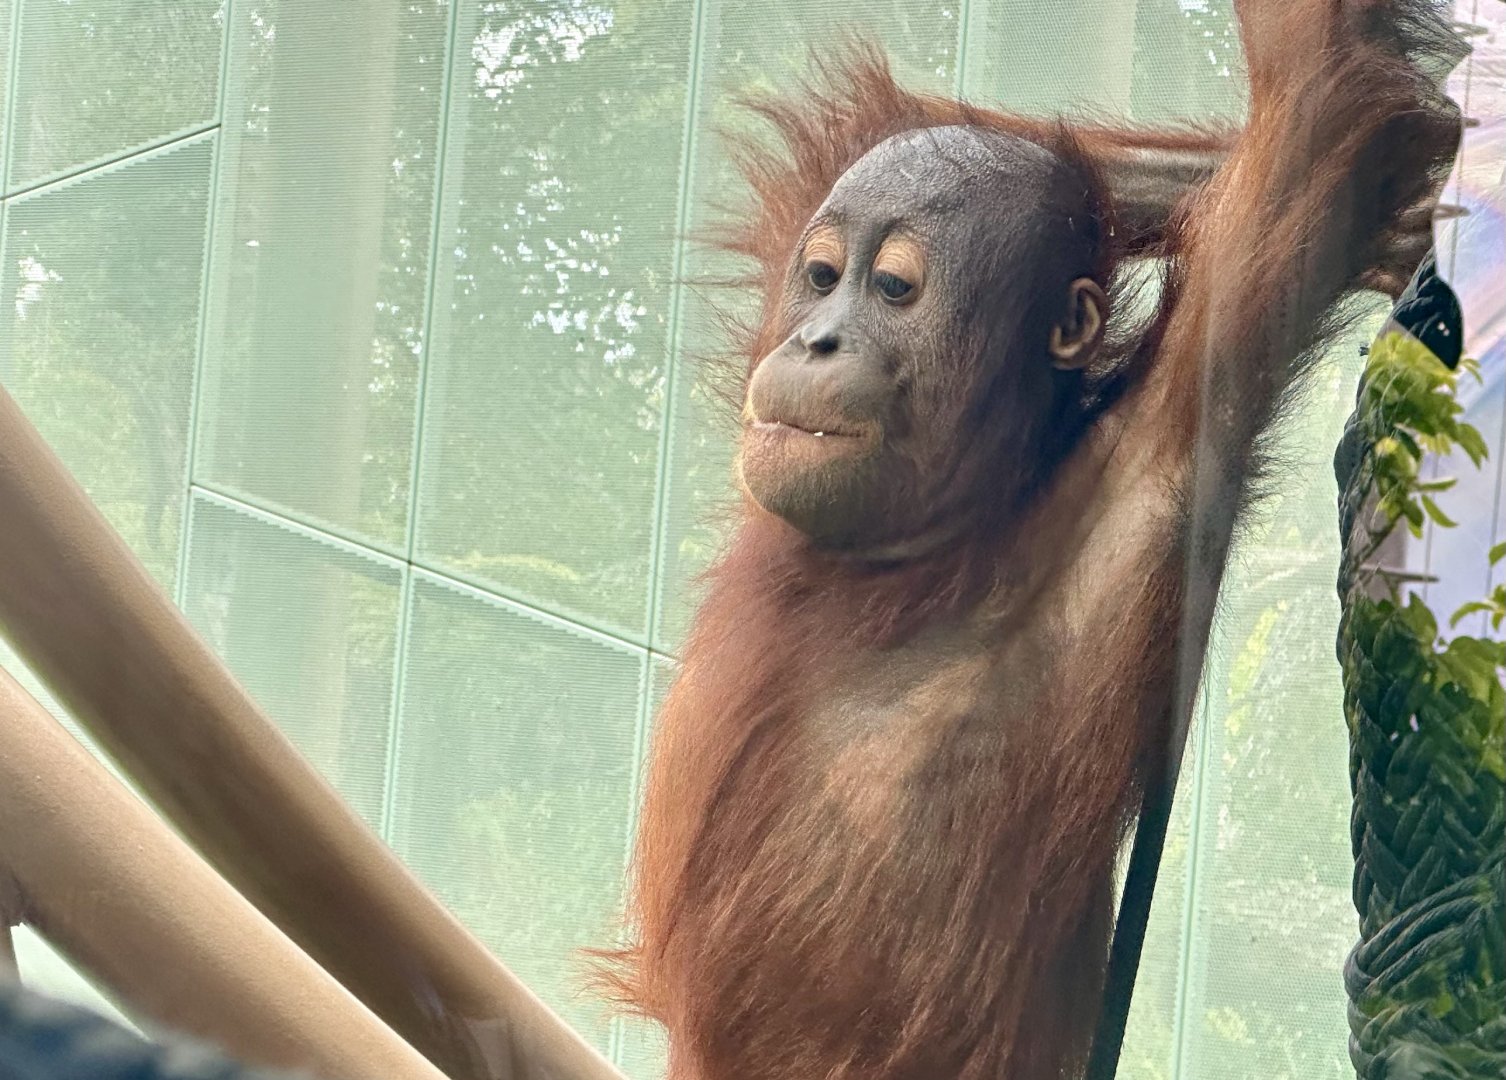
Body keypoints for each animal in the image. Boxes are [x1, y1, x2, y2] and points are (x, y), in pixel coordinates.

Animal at [596, 2, 1462, 1078]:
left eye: (894, 289)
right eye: (822, 277)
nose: (814, 341)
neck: (920, 551)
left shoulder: (1170, 433)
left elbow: (1314, 94)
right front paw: (1413, 210)